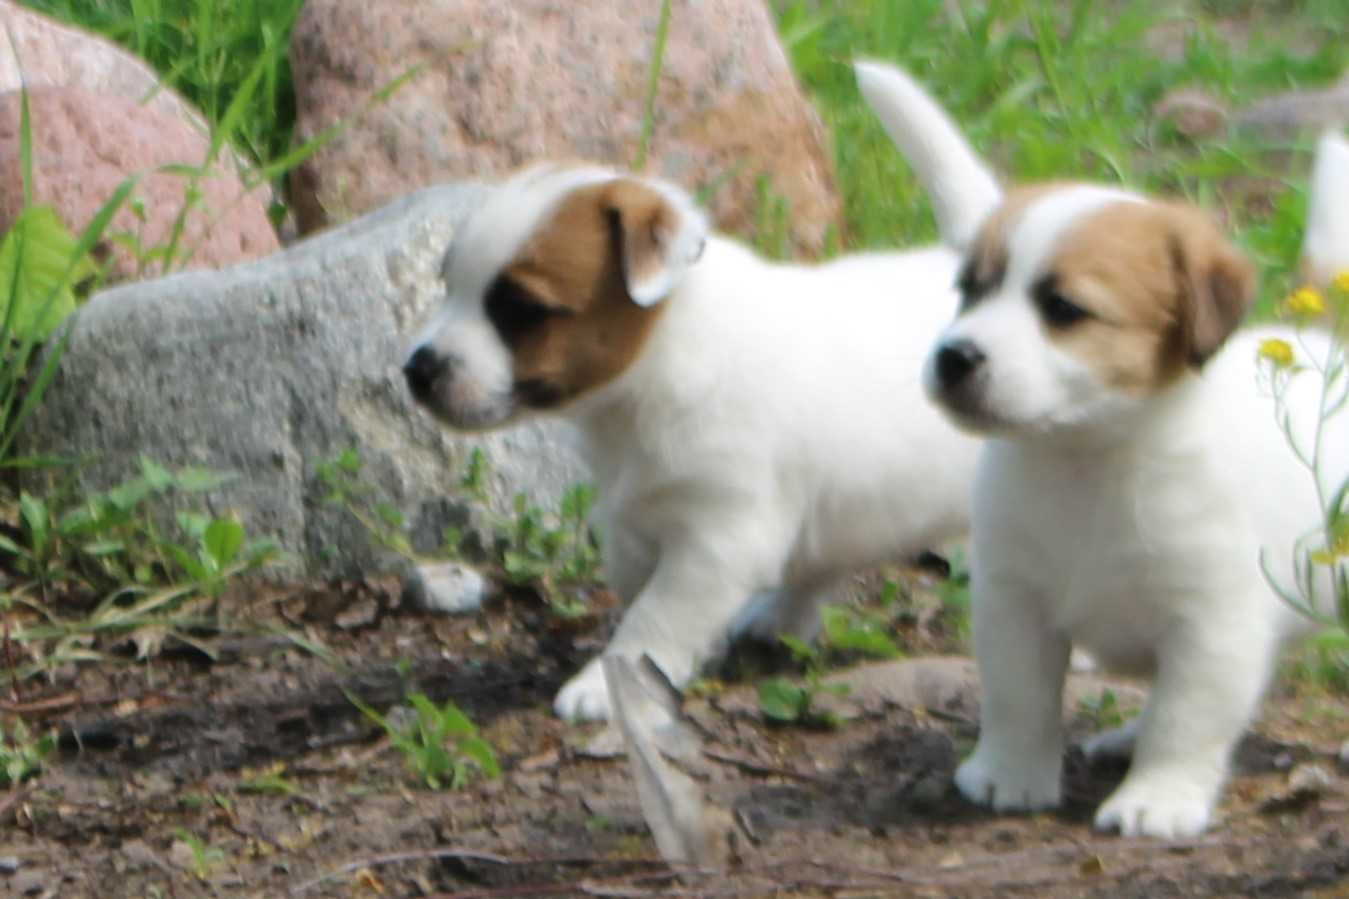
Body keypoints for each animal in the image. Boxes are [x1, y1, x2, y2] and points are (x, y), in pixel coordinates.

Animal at [404, 159, 987, 723]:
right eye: (448, 285)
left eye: (521, 308)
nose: (416, 369)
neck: (659, 361)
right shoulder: (632, 522)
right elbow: (637, 591)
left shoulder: (716, 542)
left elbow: (653, 617)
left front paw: (608, 685)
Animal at [857, 61, 1349, 831]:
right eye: (969, 290)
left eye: (1063, 309)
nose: (954, 356)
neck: (1087, 461)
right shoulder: (1013, 604)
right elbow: (1018, 701)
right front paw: (1010, 774)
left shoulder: (1212, 627)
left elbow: (1184, 721)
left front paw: (1158, 798)